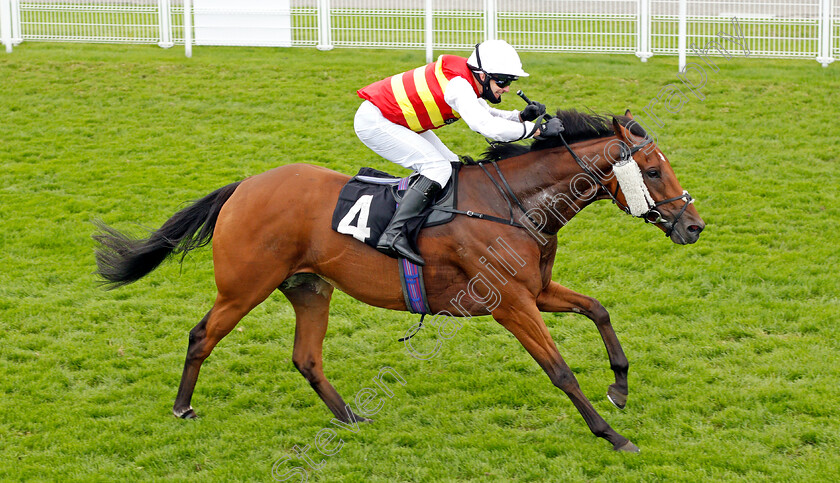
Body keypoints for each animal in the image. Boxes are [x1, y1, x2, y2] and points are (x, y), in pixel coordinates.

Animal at [95, 110, 704, 454]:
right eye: (653, 170)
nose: (694, 225)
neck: (513, 204)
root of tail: (244, 186)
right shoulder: (510, 303)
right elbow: (560, 370)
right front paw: (612, 435)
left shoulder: (534, 291)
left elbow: (599, 309)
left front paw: (620, 387)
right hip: (244, 286)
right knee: (203, 335)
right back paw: (182, 408)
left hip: (310, 287)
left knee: (306, 357)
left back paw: (350, 417)